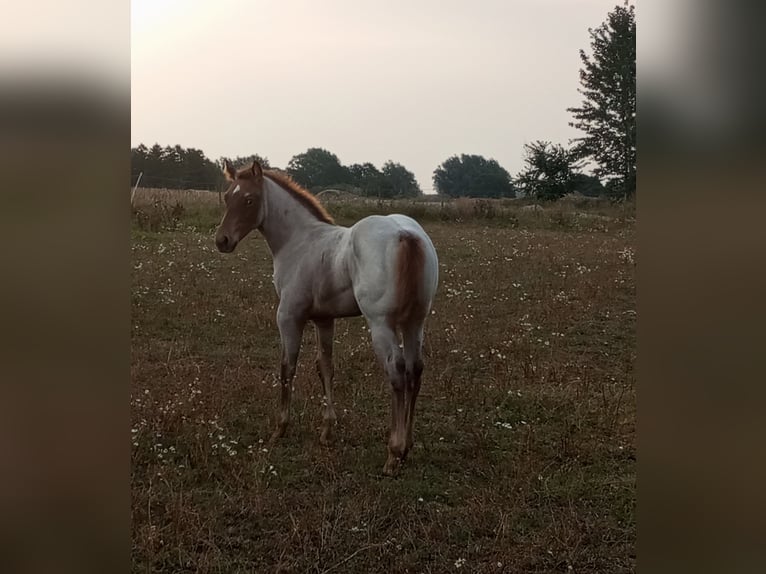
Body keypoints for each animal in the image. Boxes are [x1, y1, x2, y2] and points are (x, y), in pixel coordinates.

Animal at [216, 159, 438, 476]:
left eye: (249, 199)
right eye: (226, 197)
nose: (222, 240)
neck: (299, 242)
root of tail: (405, 234)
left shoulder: (288, 316)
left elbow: (287, 368)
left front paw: (279, 429)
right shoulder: (324, 320)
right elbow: (326, 368)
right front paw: (327, 431)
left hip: (381, 325)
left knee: (396, 373)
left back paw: (393, 454)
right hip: (415, 322)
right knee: (414, 370)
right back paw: (406, 446)